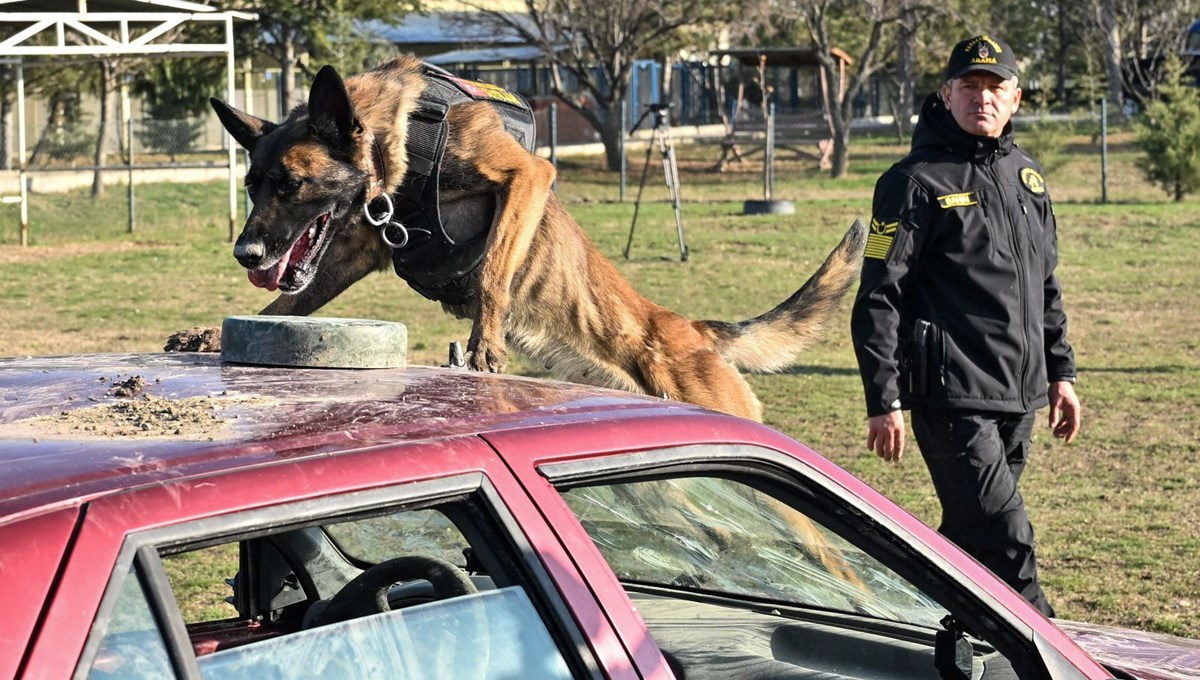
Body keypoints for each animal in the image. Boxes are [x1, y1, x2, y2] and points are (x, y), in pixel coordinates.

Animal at [201, 58, 868, 422]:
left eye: (291, 185)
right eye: (252, 186)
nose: (246, 254)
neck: (404, 132)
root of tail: (693, 329)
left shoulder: (528, 175)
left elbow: (496, 268)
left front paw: (487, 343)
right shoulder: (363, 247)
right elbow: (292, 300)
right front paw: (213, 334)